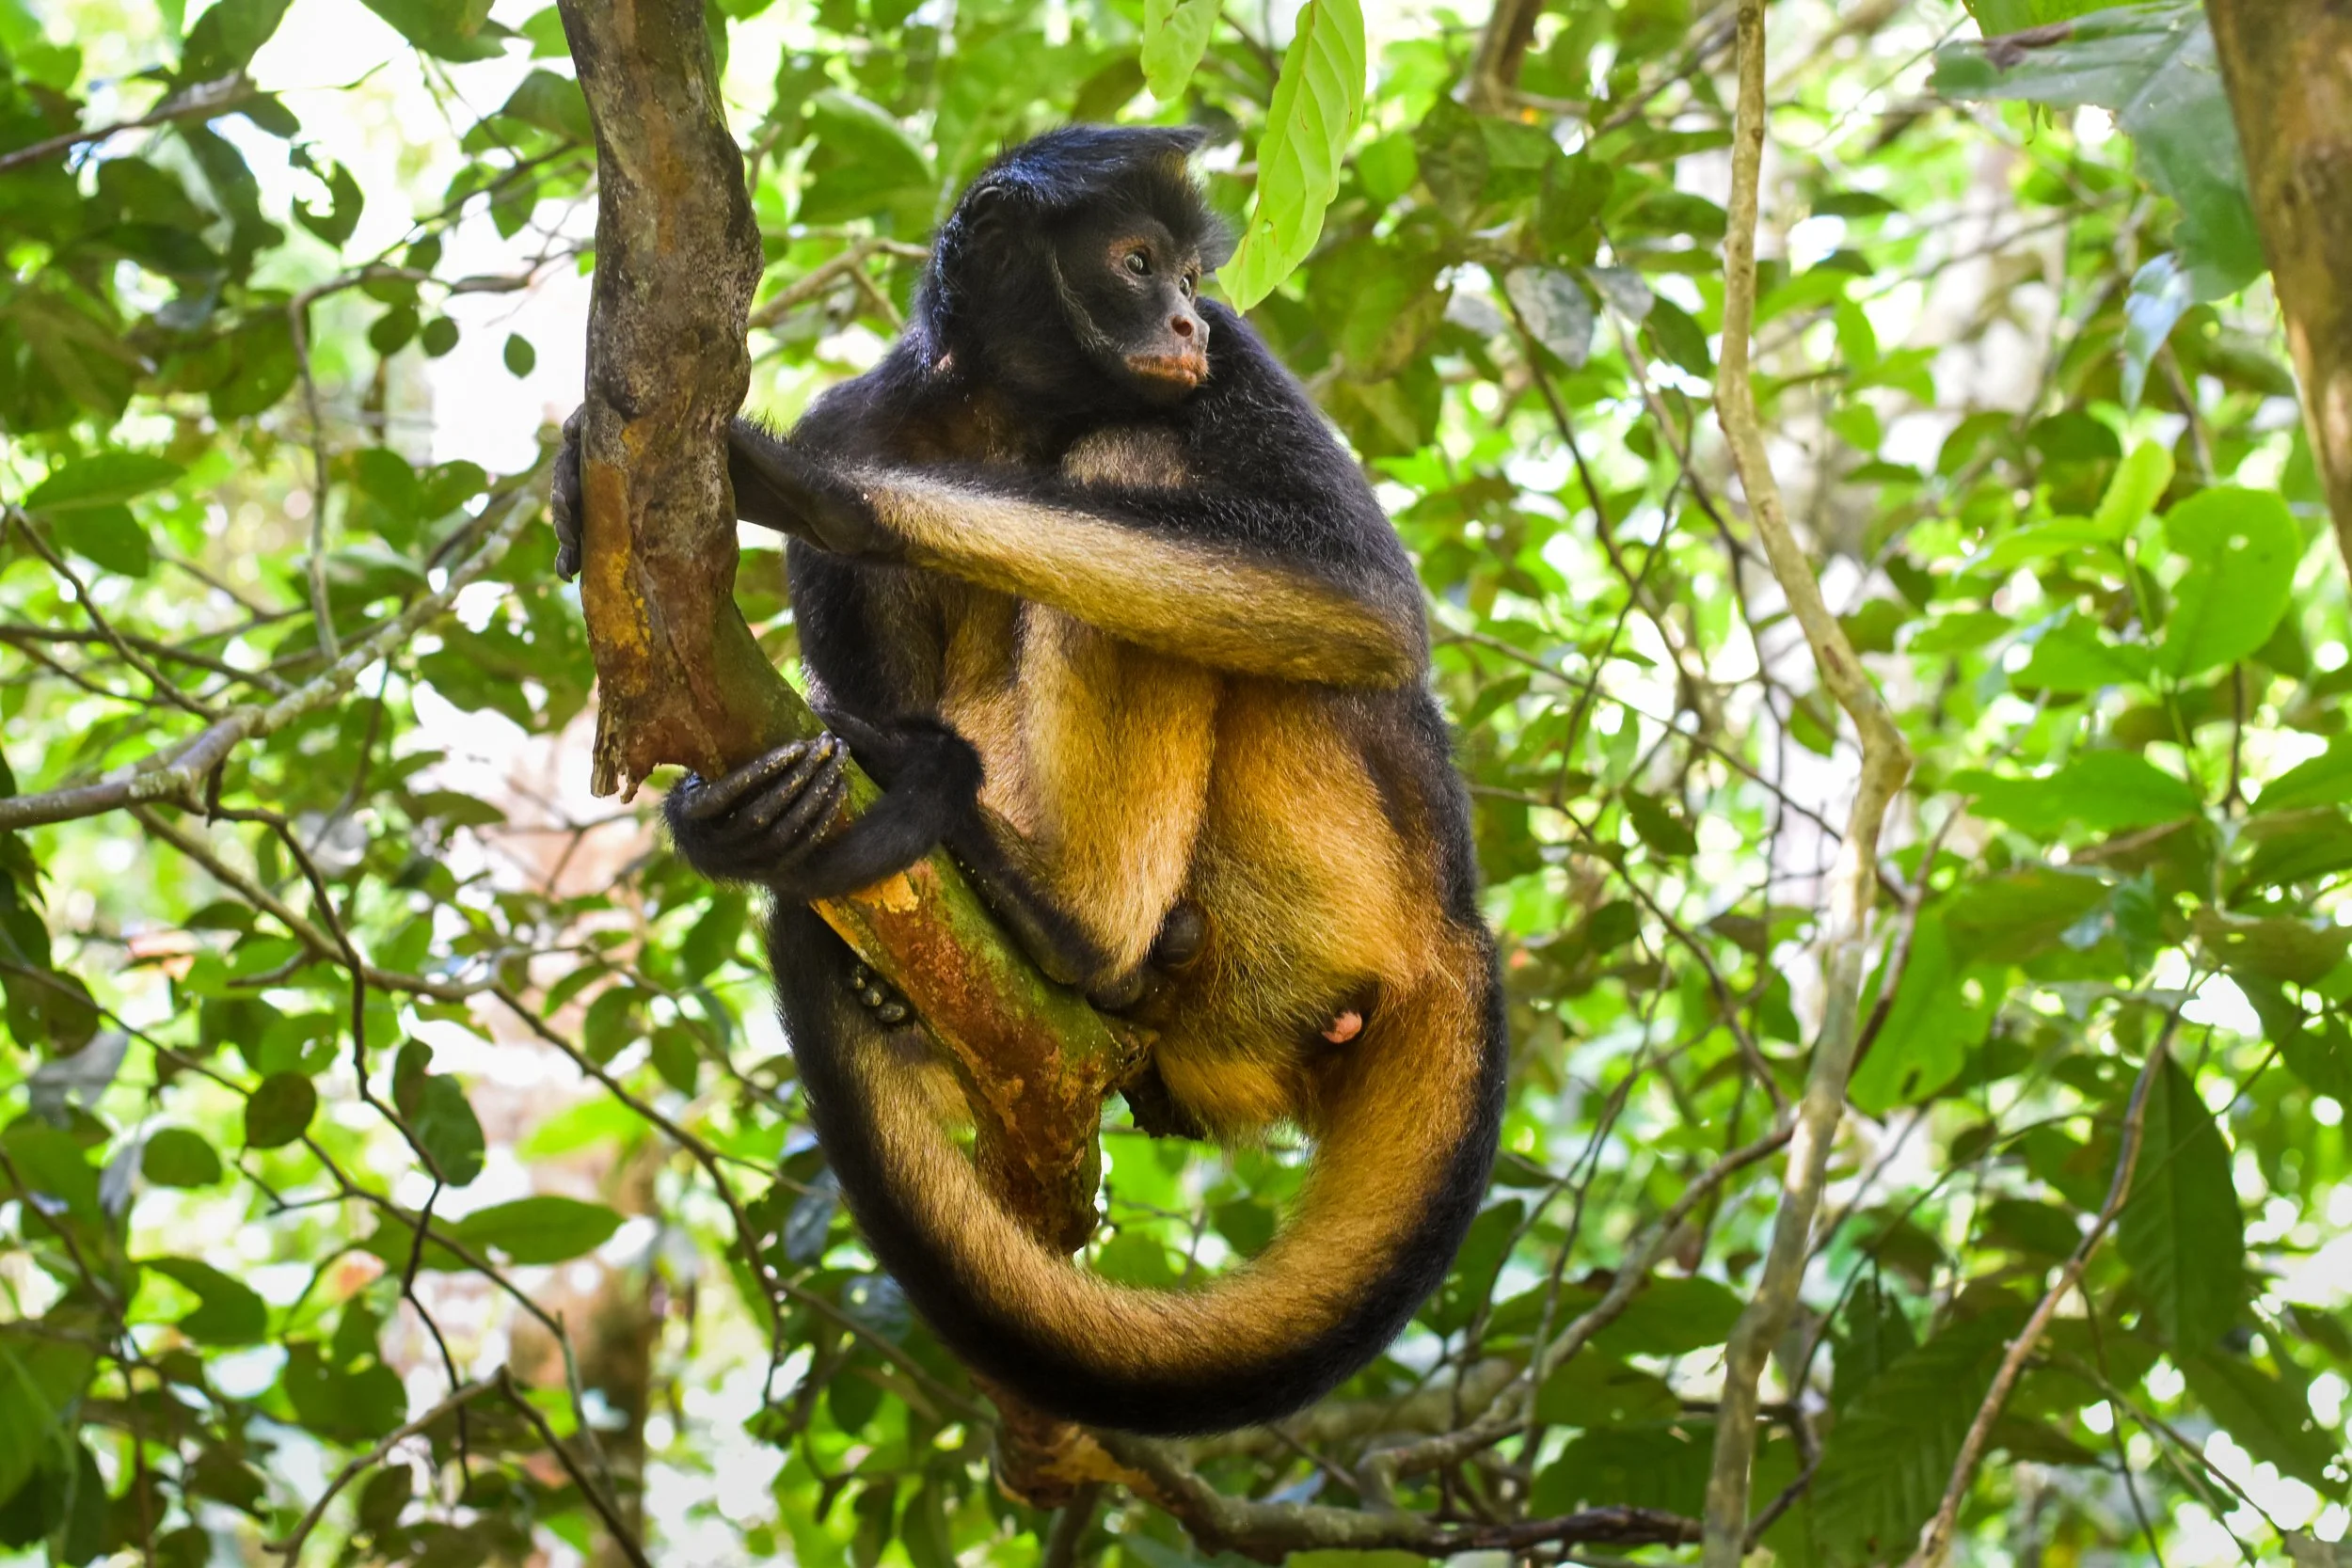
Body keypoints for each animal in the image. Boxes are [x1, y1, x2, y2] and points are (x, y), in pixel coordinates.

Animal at [553, 125, 1507, 1437]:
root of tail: (1458, 918)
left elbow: (1361, 597)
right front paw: (749, 826)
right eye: (1138, 264)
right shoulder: (870, 403)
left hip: (1335, 872)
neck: (1007, 408)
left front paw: (821, 495)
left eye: (1195, 283)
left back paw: (1075, 929)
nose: (1186, 322)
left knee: (1131, 450)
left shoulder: (1228, 364)